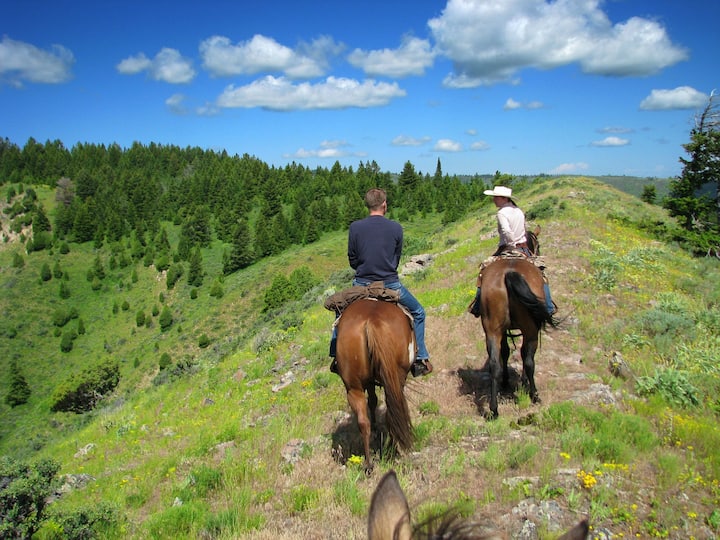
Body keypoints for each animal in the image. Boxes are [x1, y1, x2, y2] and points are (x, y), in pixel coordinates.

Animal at [335, 299, 415, 474]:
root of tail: (372, 322)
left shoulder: (370, 382)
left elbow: (372, 401)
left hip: (354, 388)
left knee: (363, 422)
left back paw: (368, 464)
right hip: (397, 378)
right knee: (392, 412)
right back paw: (393, 449)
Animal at [479, 253, 558, 419]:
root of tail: (509, 273)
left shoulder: (502, 331)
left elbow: (505, 352)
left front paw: (506, 381)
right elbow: (523, 354)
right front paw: (524, 382)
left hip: (492, 330)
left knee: (494, 364)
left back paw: (494, 409)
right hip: (531, 330)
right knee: (529, 361)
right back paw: (534, 395)